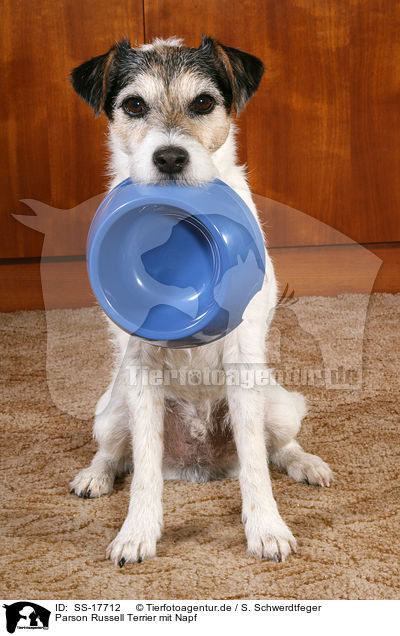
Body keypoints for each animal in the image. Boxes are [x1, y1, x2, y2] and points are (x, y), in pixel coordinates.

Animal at [69, 36, 332, 568]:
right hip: (112, 412)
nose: (170, 157)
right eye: (134, 105)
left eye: (204, 103)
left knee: (277, 448)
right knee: (118, 453)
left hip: (280, 404)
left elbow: (256, 463)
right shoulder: (140, 367)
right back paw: (95, 475)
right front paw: (137, 532)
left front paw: (267, 528)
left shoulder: (242, 360)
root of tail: (198, 466)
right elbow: (144, 470)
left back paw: (307, 464)